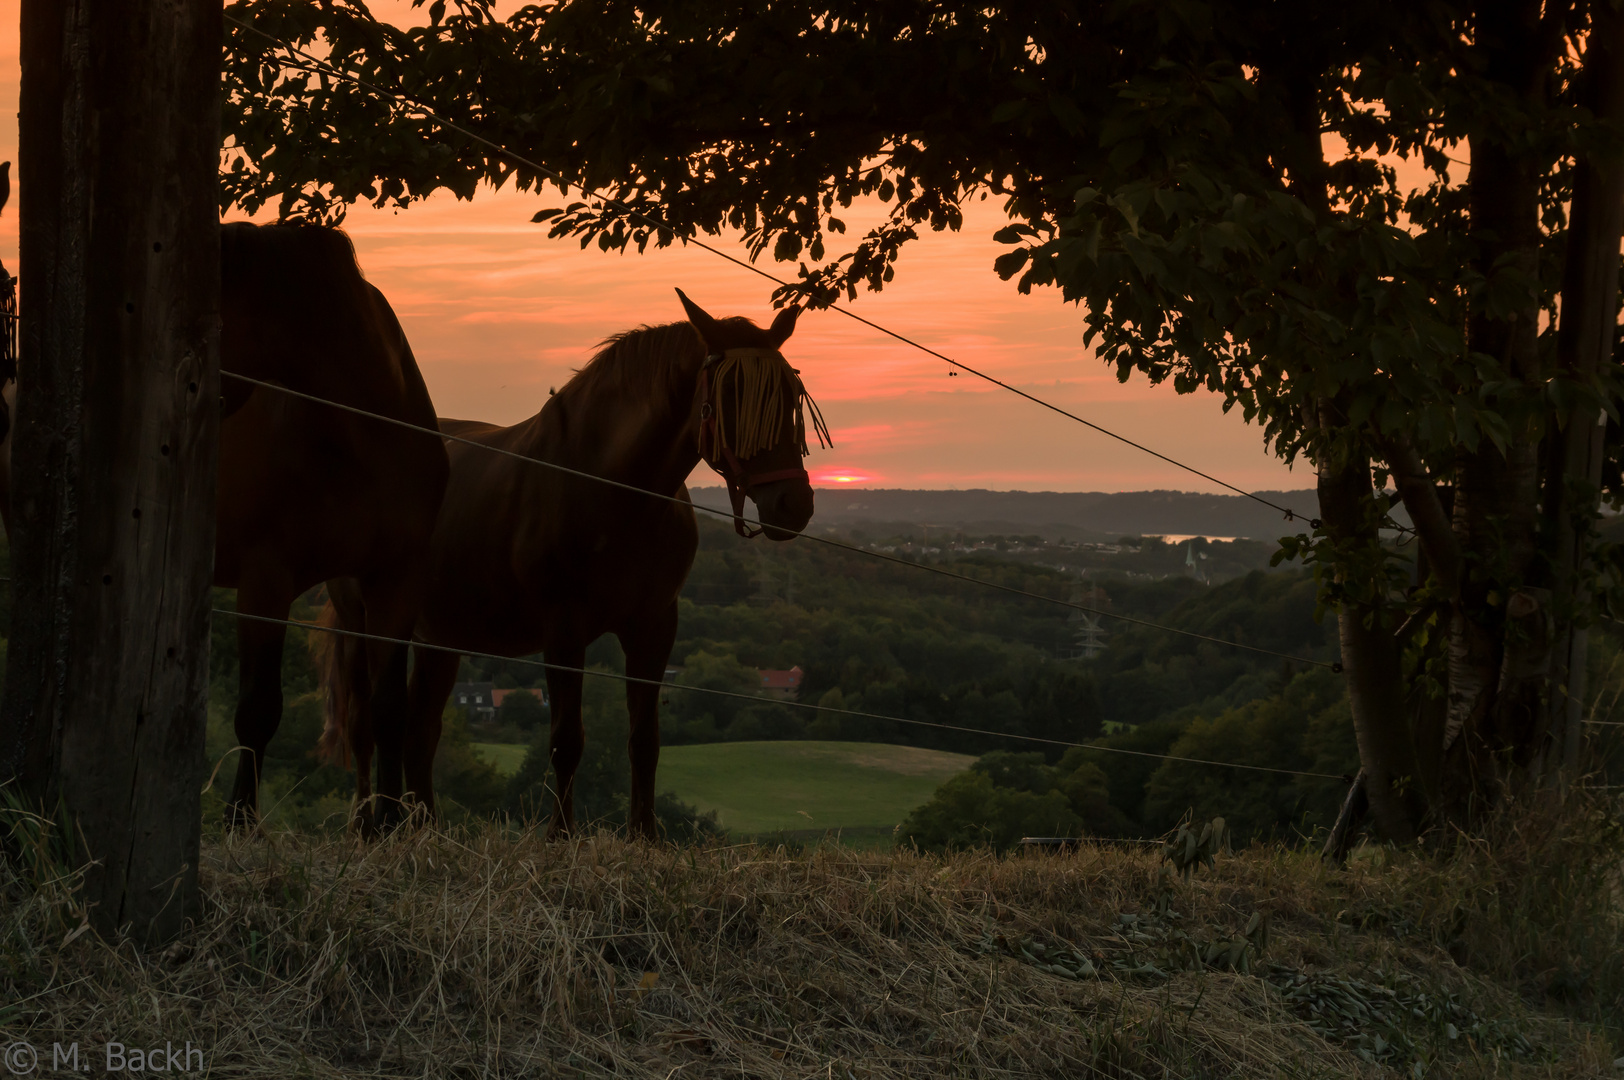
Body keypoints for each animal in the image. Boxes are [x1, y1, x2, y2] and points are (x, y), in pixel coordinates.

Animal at [316, 290, 824, 838]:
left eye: (791, 398)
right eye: (732, 396)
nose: (793, 505)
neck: (610, 487)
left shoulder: (653, 626)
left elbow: (644, 742)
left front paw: (645, 839)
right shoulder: (563, 630)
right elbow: (566, 741)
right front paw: (561, 836)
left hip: (439, 636)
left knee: (420, 732)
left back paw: (424, 828)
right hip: (365, 621)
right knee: (366, 726)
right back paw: (369, 827)